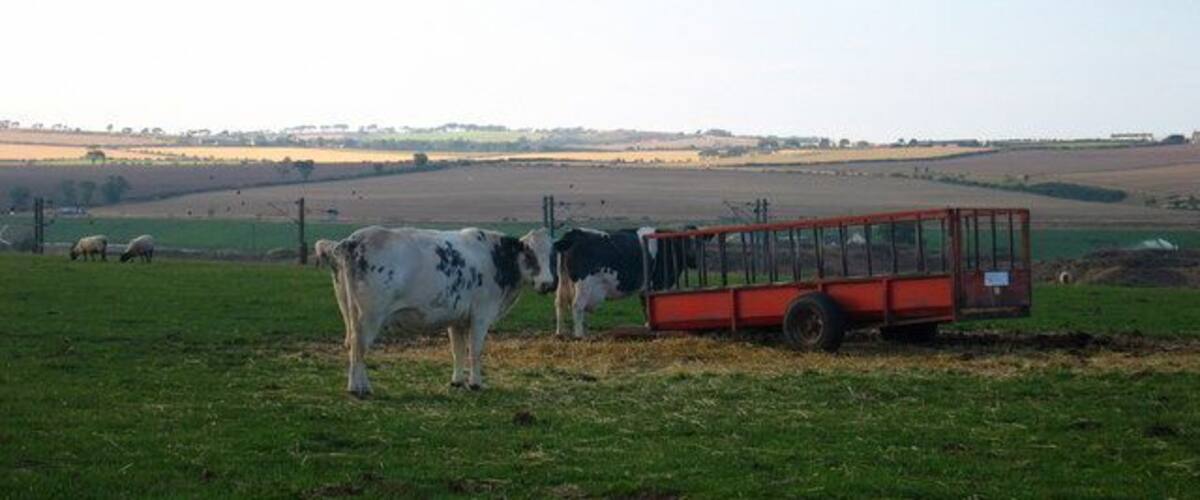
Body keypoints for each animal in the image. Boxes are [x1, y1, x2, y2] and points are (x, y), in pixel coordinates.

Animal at [329, 226, 555, 396]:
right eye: (529, 253)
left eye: (552, 255)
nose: (548, 284)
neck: (495, 258)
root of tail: (353, 241)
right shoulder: (481, 316)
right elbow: (475, 350)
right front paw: (475, 383)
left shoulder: (457, 319)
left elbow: (458, 350)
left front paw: (457, 381)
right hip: (370, 316)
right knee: (358, 347)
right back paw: (358, 388)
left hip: (350, 312)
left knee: (352, 345)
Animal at [552, 227, 704, 338]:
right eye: (690, 244)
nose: (697, 260)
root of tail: (573, 233)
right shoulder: (657, 283)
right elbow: (652, 306)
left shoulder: (645, 287)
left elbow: (645, 305)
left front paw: (647, 326)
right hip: (584, 285)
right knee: (577, 306)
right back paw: (579, 335)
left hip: (563, 281)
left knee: (560, 303)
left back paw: (560, 333)